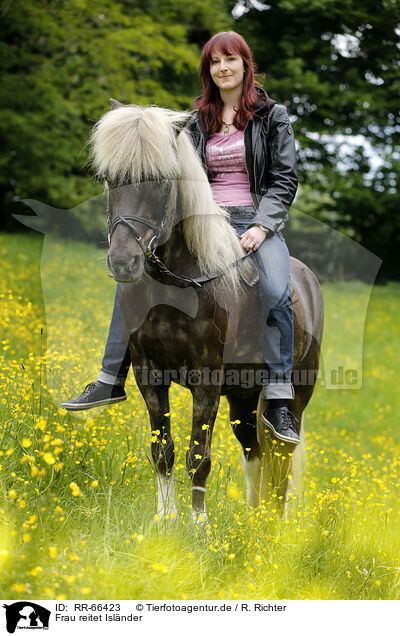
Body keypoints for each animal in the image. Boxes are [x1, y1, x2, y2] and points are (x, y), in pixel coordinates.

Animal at [89, 99, 324, 520]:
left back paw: (275, 526)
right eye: (110, 179)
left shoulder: (207, 381)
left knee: (281, 457)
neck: (176, 289)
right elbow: (162, 450)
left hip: (295, 395)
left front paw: (198, 524)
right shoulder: (150, 377)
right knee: (254, 453)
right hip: (244, 397)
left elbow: (199, 455)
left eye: (159, 180)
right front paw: (166, 519)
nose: (123, 262)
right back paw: (254, 520)